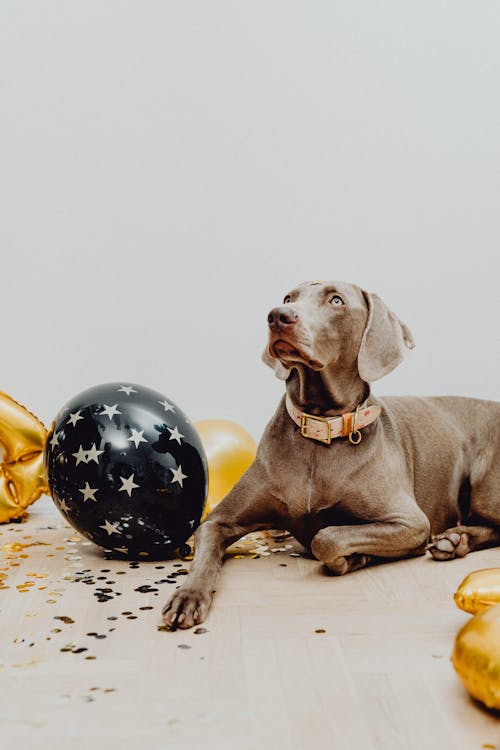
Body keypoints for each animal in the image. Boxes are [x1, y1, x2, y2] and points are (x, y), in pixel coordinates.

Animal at [162, 280, 498, 628]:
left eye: (336, 300)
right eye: (288, 298)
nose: (277, 316)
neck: (320, 427)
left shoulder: (410, 521)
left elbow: (326, 537)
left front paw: (356, 557)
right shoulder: (218, 522)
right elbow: (205, 556)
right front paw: (187, 596)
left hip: (486, 487)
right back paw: (455, 541)